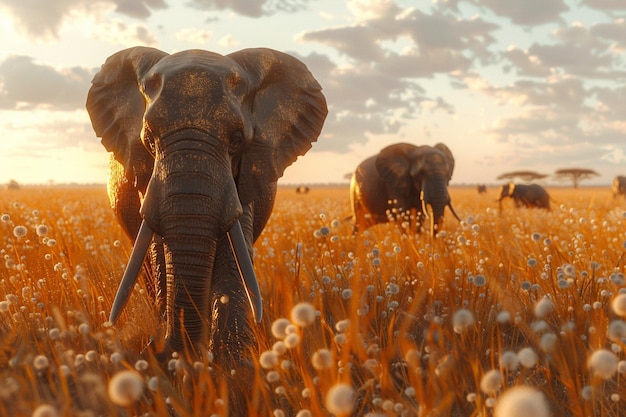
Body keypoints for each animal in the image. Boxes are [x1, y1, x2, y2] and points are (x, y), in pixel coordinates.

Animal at [85, 46, 326, 370]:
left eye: (237, 140)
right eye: (149, 140)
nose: (156, 350)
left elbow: (233, 256)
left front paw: (234, 367)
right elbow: (161, 254)